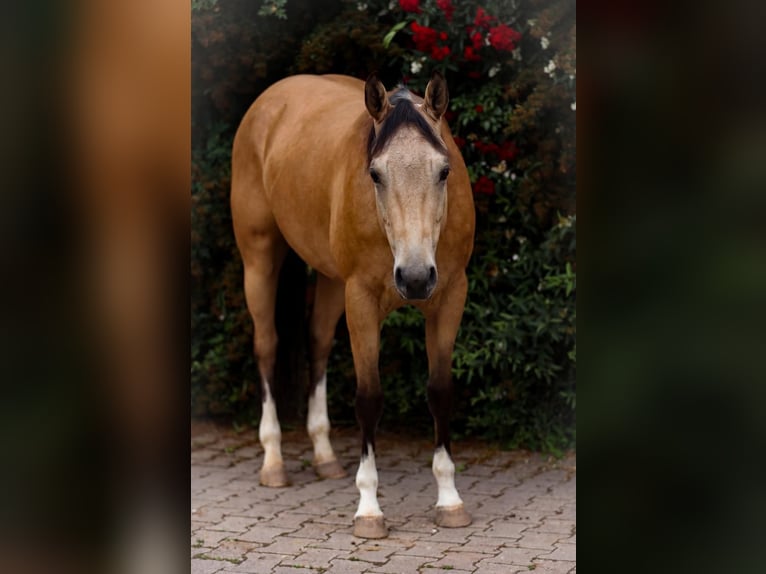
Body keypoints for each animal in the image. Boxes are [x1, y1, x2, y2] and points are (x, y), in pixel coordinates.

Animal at [230, 72, 475, 539]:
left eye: (444, 171)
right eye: (375, 174)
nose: (415, 278)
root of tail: (269, 100)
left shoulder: (450, 296)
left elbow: (441, 391)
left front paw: (450, 499)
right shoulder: (360, 299)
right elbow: (368, 398)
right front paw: (369, 508)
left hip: (330, 280)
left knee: (318, 344)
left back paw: (325, 456)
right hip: (259, 258)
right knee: (267, 346)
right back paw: (273, 461)